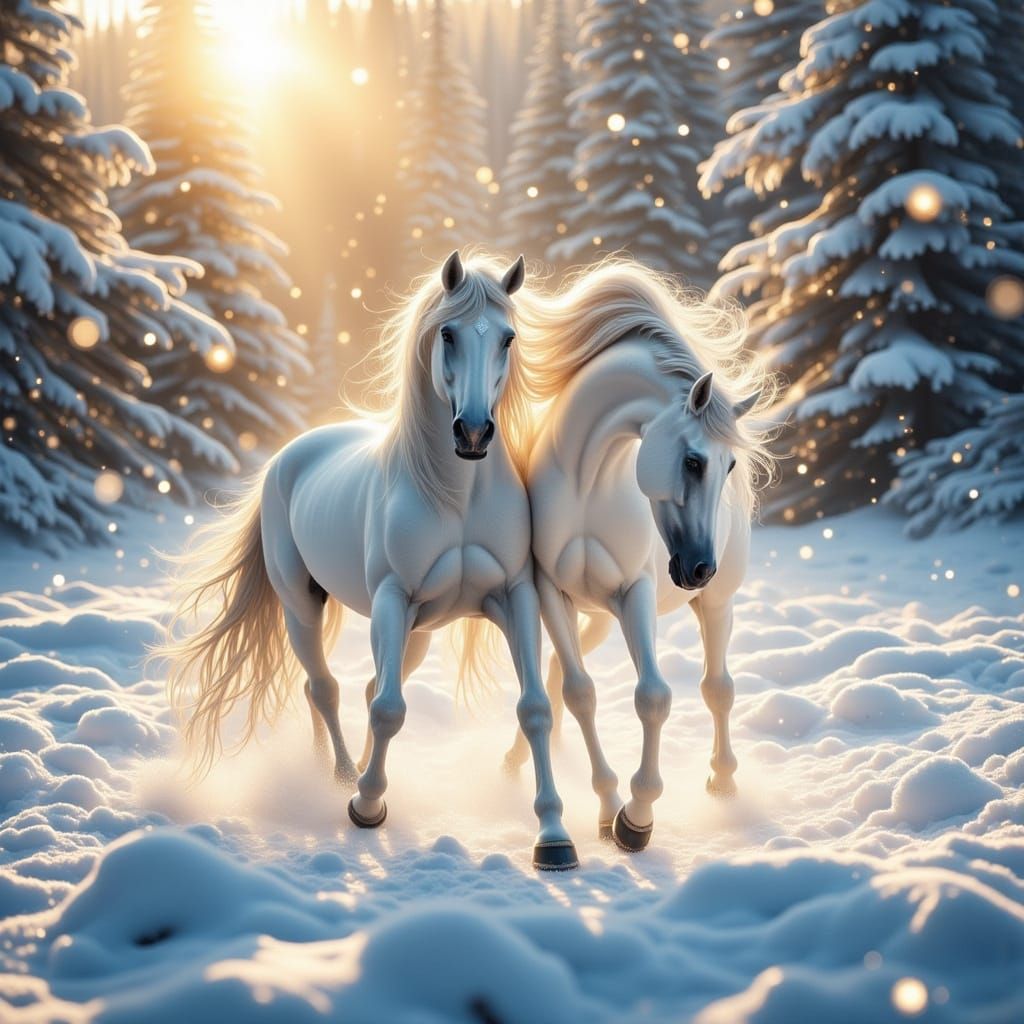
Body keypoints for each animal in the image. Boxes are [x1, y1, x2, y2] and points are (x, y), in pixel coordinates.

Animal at [164, 250, 579, 871]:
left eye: (508, 337)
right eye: (448, 333)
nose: (474, 432)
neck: (457, 496)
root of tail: (288, 456)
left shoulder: (514, 598)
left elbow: (534, 710)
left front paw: (553, 835)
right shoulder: (392, 600)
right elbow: (388, 710)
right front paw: (367, 806)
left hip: (419, 633)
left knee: (355, 689)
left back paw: (351, 770)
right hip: (302, 607)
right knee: (323, 688)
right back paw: (338, 777)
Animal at [502, 261, 774, 852]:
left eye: (730, 466)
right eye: (694, 461)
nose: (699, 568)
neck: (586, 484)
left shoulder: (636, 594)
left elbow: (653, 697)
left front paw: (636, 817)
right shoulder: (552, 592)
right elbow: (580, 692)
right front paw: (610, 807)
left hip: (715, 605)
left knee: (718, 688)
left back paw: (723, 781)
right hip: (597, 615)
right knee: (558, 671)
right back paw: (515, 758)